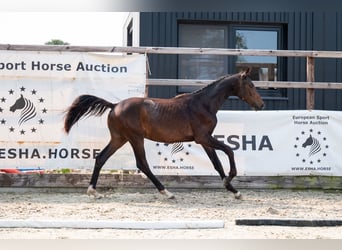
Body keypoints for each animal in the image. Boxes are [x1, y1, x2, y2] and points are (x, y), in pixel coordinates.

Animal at [64, 69, 264, 200]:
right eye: (251, 85)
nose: (261, 105)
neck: (203, 104)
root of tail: (114, 105)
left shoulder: (205, 141)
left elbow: (217, 164)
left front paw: (234, 190)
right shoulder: (203, 137)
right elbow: (229, 150)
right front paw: (230, 180)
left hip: (119, 138)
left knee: (101, 157)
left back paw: (93, 191)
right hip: (135, 138)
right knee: (142, 164)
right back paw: (166, 192)